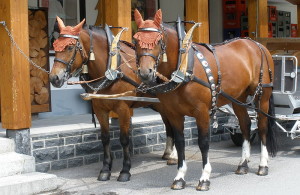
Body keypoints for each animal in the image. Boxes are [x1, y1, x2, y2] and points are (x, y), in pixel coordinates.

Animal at [48, 16, 177, 183]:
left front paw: (125, 170)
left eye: (70, 48)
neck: (111, 70)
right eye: (54, 45)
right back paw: (168, 153)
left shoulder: (123, 109)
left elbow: (124, 139)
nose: (54, 78)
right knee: (168, 125)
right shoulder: (99, 109)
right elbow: (105, 138)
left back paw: (173, 156)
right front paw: (105, 169)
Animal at [132, 9, 278, 190]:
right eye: (135, 40)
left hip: (262, 97)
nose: (145, 73)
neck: (184, 67)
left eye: (158, 40)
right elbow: (180, 143)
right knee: (245, 125)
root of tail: (257, 45)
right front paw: (179, 177)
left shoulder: (201, 112)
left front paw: (204, 178)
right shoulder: (174, 114)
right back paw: (243, 163)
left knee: (263, 127)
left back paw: (263, 165)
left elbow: (203, 142)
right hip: (238, 98)